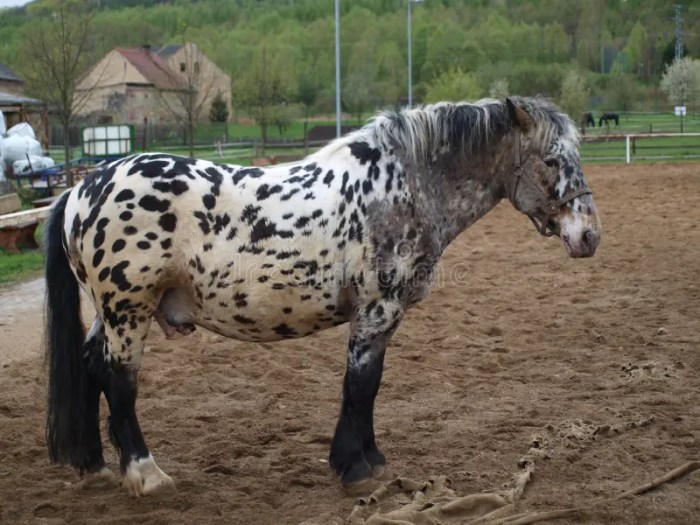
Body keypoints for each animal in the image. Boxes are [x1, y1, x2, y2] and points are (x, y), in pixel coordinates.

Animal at [45, 97, 600, 496]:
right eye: (553, 160)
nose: (589, 236)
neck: (402, 187)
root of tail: (81, 190)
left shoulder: (382, 317)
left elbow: (369, 385)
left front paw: (370, 459)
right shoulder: (377, 309)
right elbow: (361, 384)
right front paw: (354, 467)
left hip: (108, 314)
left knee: (91, 367)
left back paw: (96, 465)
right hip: (127, 312)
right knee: (119, 383)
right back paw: (145, 474)